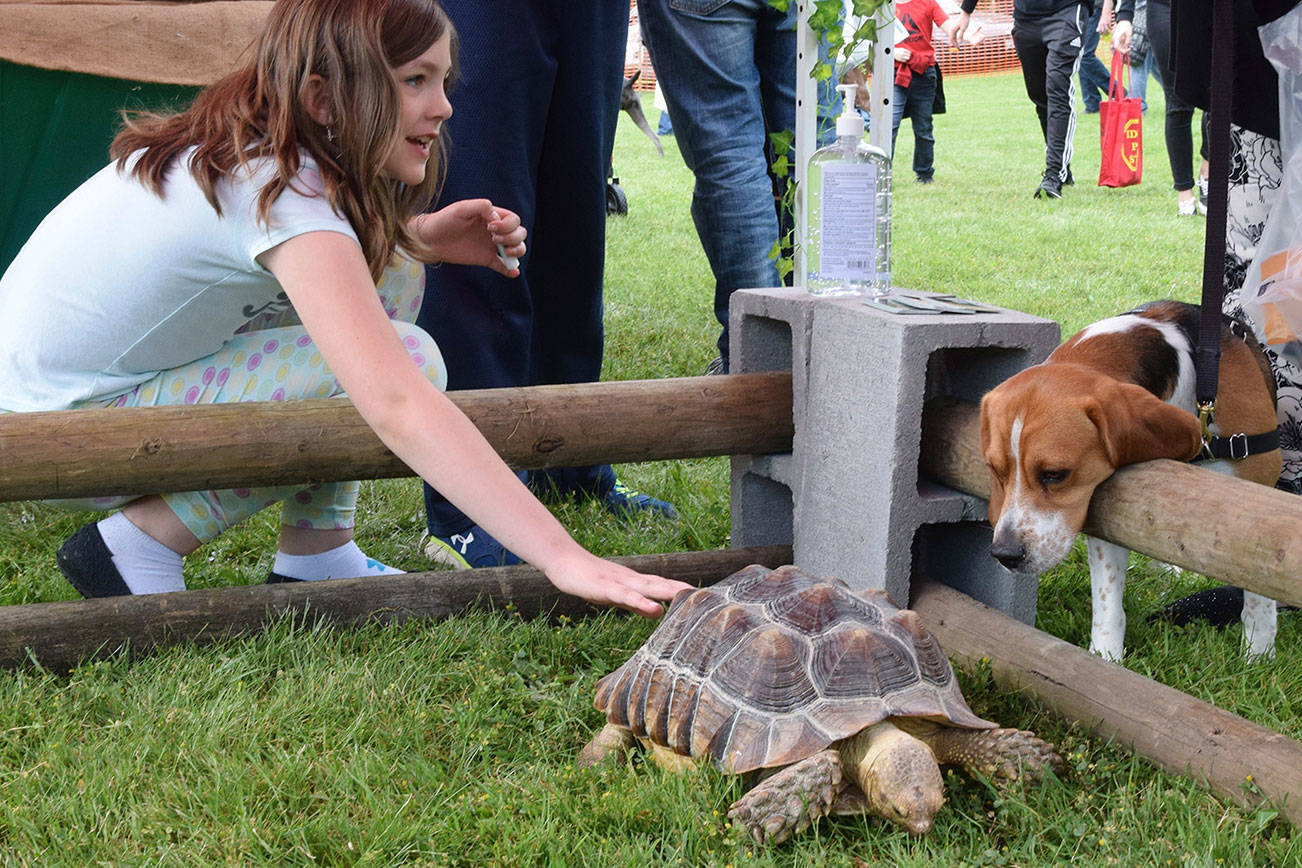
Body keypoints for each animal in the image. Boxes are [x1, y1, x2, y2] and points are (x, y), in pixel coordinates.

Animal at [979, 299, 1275, 658]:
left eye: (1054, 474)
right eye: (997, 471)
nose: (1005, 554)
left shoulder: (1260, 496)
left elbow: (1259, 581)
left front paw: (1258, 651)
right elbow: (1108, 596)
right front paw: (1105, 656)